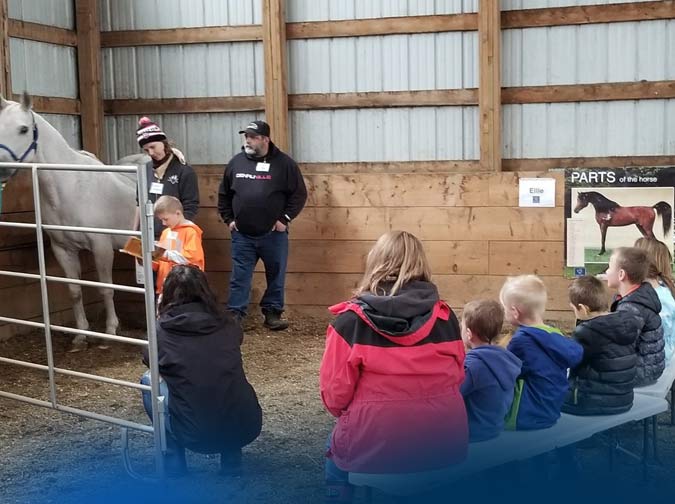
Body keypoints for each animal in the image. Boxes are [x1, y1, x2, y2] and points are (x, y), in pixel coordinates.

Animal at [0, 92, 138, 348]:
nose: (2, 169)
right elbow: (75, 290)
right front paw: (81, 335)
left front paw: (110, 332)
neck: (71, 186)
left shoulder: (101, 247)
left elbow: (105, 289)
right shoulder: (62, 249)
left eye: (24, 129)